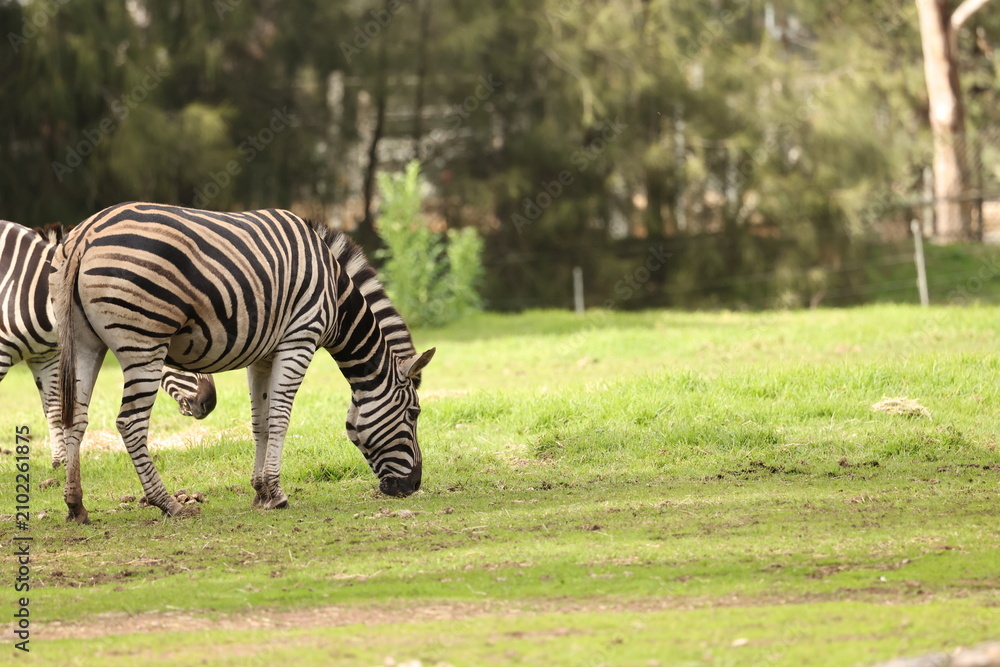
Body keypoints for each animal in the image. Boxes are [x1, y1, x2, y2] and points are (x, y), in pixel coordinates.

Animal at [50, 202, 434, 523]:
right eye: (413, 414)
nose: (414, 485)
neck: (336, 298)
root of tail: (85, 234)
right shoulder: (300, 339)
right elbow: (280, 418)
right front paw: (277, 493)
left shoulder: (262, 355)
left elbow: (259, 422)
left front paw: (261, 491)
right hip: (143, 341)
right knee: (130, 422)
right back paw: (168, 504)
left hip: (84, 343)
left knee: (76, 417)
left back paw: (75, 505)